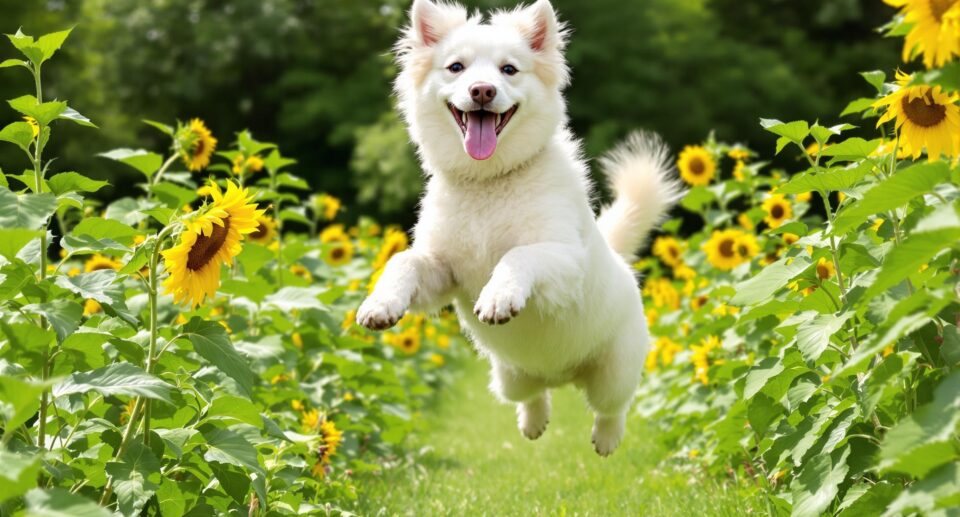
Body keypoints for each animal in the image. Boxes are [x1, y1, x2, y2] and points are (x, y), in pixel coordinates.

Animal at [354, 0, 684, 452]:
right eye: (456, 67)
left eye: (509, 70)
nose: (482, 91)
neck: (490, 181)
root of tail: (562, 375)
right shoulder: (442, 273)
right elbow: (402, 262)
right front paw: (380, 304)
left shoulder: (566, 261)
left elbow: (517, 255)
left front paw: (499, 297)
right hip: (509, 378)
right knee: (533, 395)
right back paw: (534, 421)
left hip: (614, 374)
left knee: (612, 407)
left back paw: (606, 438)